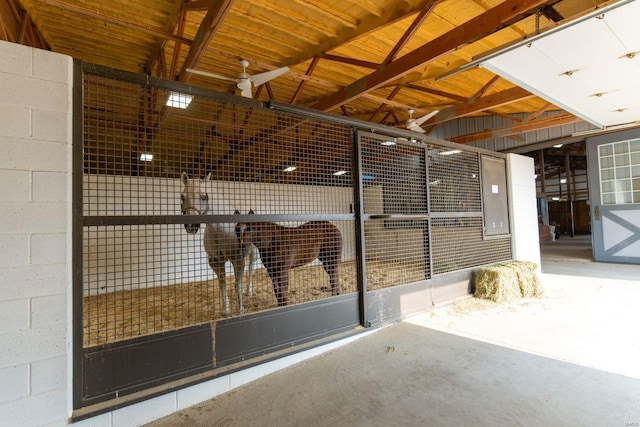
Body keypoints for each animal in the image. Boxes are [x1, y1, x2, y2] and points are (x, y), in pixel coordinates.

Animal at [180, 172, 255, 316]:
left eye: (204, 197)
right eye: (182, 197)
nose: (191, 226)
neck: (220, 228)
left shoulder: (238, 260)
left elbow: (237, 285)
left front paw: (240, 310)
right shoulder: (215, 261)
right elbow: (222, 284)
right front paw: (225, 310)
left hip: (253, 253)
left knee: (251, 269)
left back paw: (249, 292)